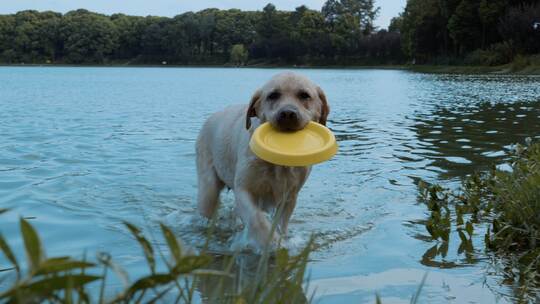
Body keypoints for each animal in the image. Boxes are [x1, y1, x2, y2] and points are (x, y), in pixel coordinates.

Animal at [195, 72, 330, 249]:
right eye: (273, 95)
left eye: (304, 95)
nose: (288, 113)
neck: (278, 163)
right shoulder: (244, 190)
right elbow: (257, 219)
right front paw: (269, 243)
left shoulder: (289, 197)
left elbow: (280, 224)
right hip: (208, 188)